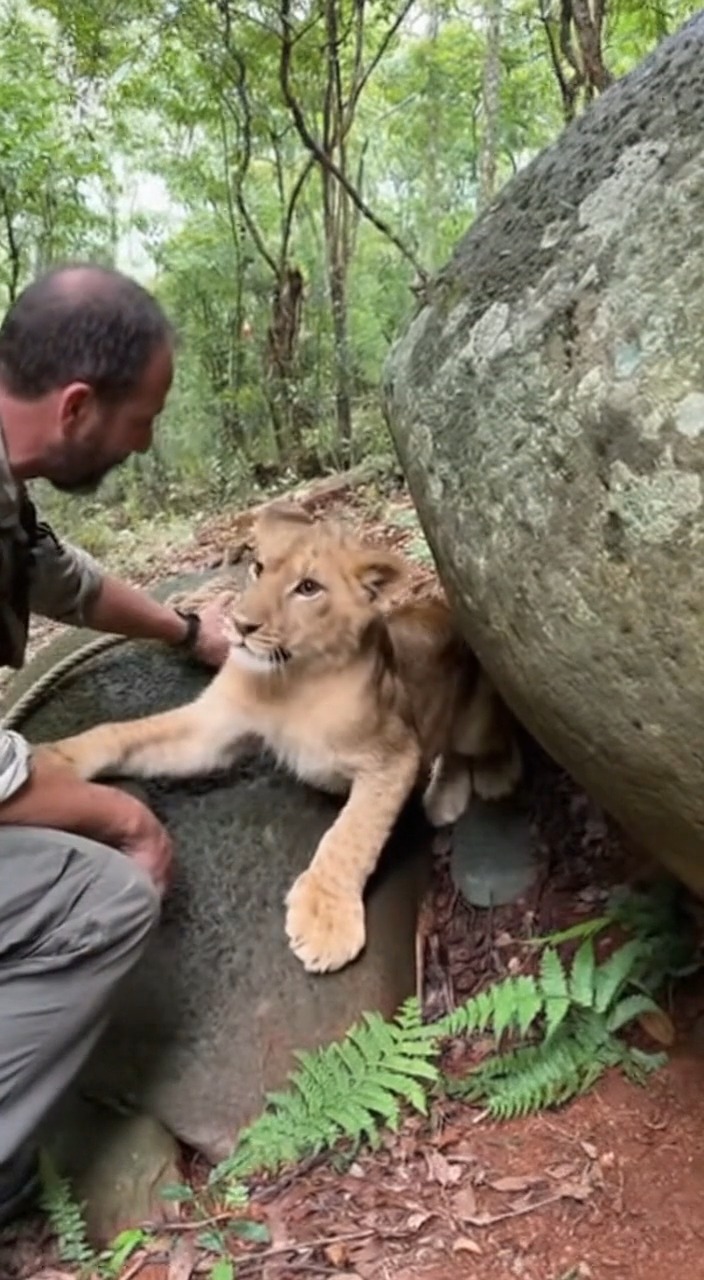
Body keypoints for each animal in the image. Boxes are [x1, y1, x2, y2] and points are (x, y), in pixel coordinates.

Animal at [36, 500, 522, 974]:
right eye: (258, 568)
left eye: (308, 588)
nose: (240, 624)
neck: (287, 683)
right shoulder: (212, 727)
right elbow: (126, 732)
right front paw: (50, 763)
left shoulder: (393, 753)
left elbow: (349, 837)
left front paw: (325, 922)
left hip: (475, 716)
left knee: (483, 740)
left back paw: (484, 781)